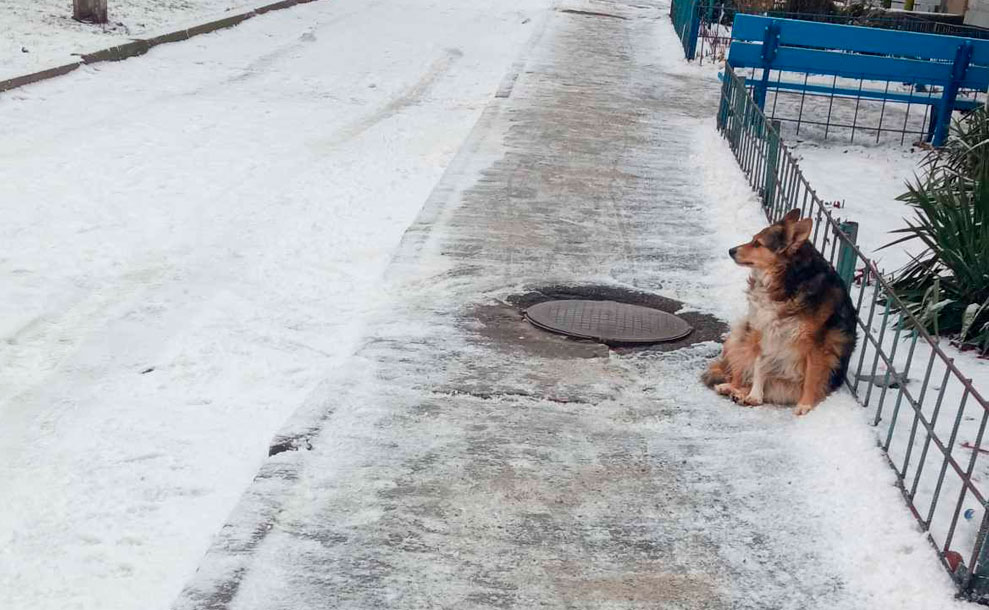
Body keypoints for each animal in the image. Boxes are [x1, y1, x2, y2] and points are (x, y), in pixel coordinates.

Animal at [704, 208, 856, 414]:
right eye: (753, 239)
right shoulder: (764, 330)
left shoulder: (818, 345)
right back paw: (735, 389)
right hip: (742, 332)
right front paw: (754, 396)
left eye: (758, 243)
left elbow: (812, 376)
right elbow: (760, 364)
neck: (788, 280)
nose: (731, 251)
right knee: (739, 372)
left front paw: (805, 405)